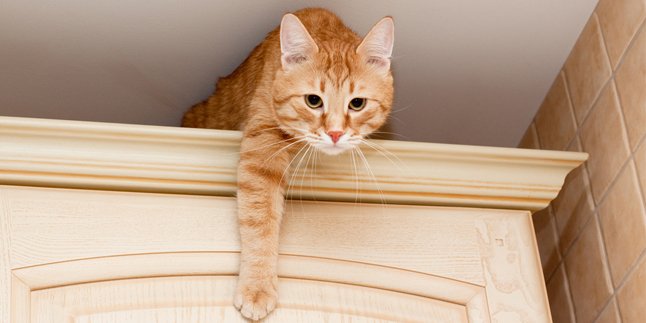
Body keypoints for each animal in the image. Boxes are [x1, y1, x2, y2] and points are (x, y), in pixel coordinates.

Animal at [181, 7, 394, 322]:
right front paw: (257, 286)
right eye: (313, 100)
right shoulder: (262, 149)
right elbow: (260, 221)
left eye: (357, 104)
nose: (335, 133)